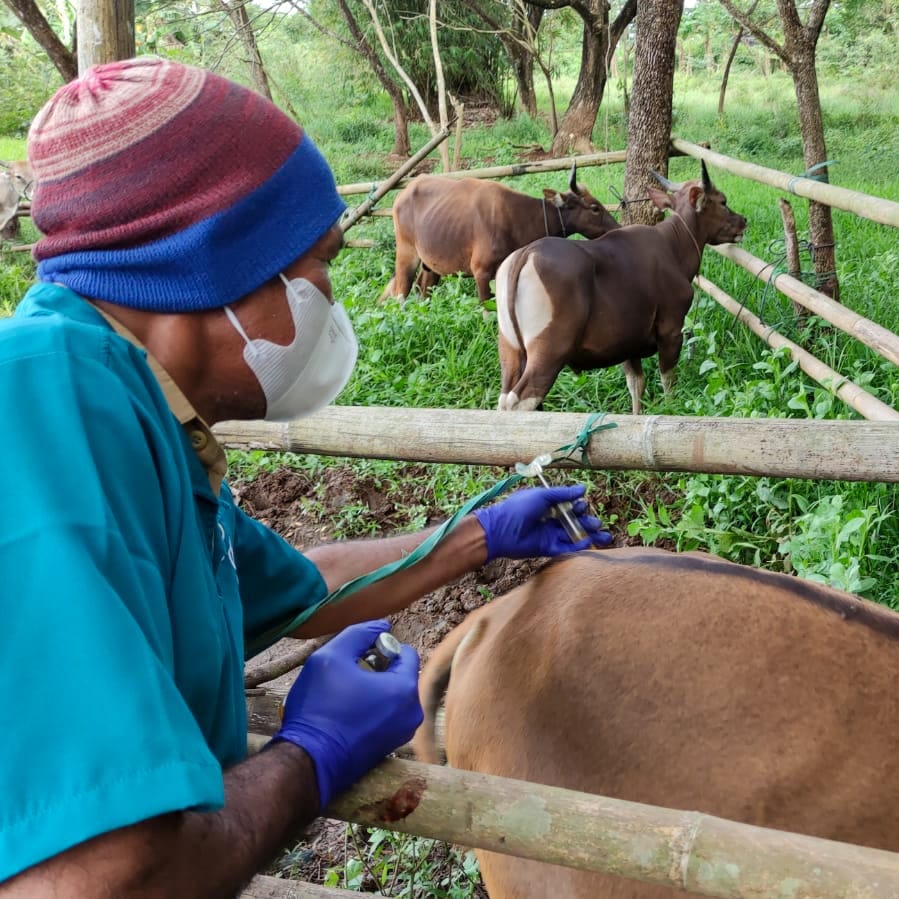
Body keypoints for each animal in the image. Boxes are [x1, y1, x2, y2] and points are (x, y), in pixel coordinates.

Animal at [378, 167, 620, 308]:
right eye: (595, 208)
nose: (617, 227)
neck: (516, 217)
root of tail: (402, 194)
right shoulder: (481, 272)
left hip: (431, 264)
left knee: (423, 289)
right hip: (406, 254)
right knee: (401, 291)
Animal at [496, 162, 748, 414]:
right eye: (723, 201)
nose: (743, 220)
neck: (673, 246)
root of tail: (525, 255)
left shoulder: (627, 343)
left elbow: (636, 385)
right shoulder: (671, 330)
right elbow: (668, 382)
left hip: (510, 352)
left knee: (504, 397)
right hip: (549, 353)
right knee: (521, 400)